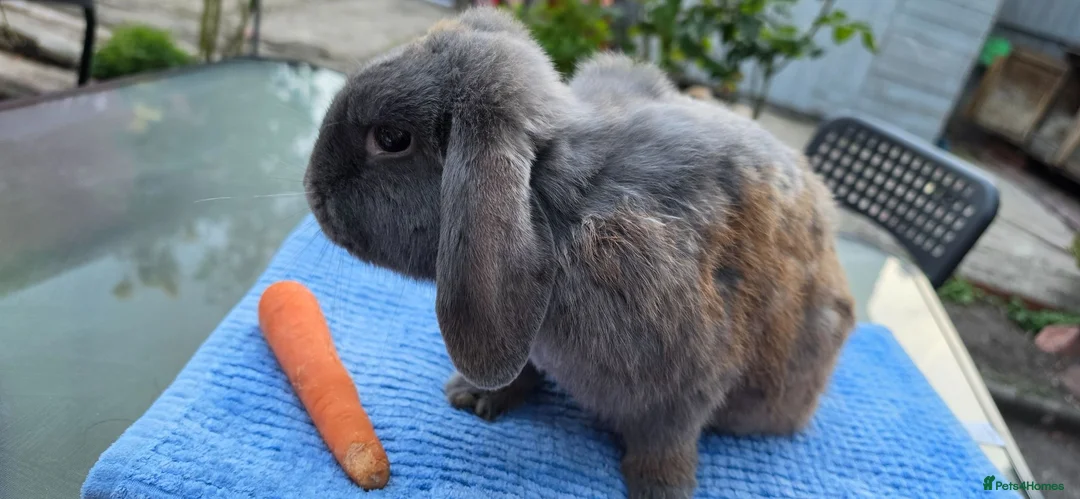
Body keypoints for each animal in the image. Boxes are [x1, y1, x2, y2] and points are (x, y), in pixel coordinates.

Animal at [304, 7, 856, 499]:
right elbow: (523, 368)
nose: (312, 191)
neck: (556, 205)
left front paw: (660, 490)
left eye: (392, 138)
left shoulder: (686, 382)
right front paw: (475, 397)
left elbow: (665, 442)